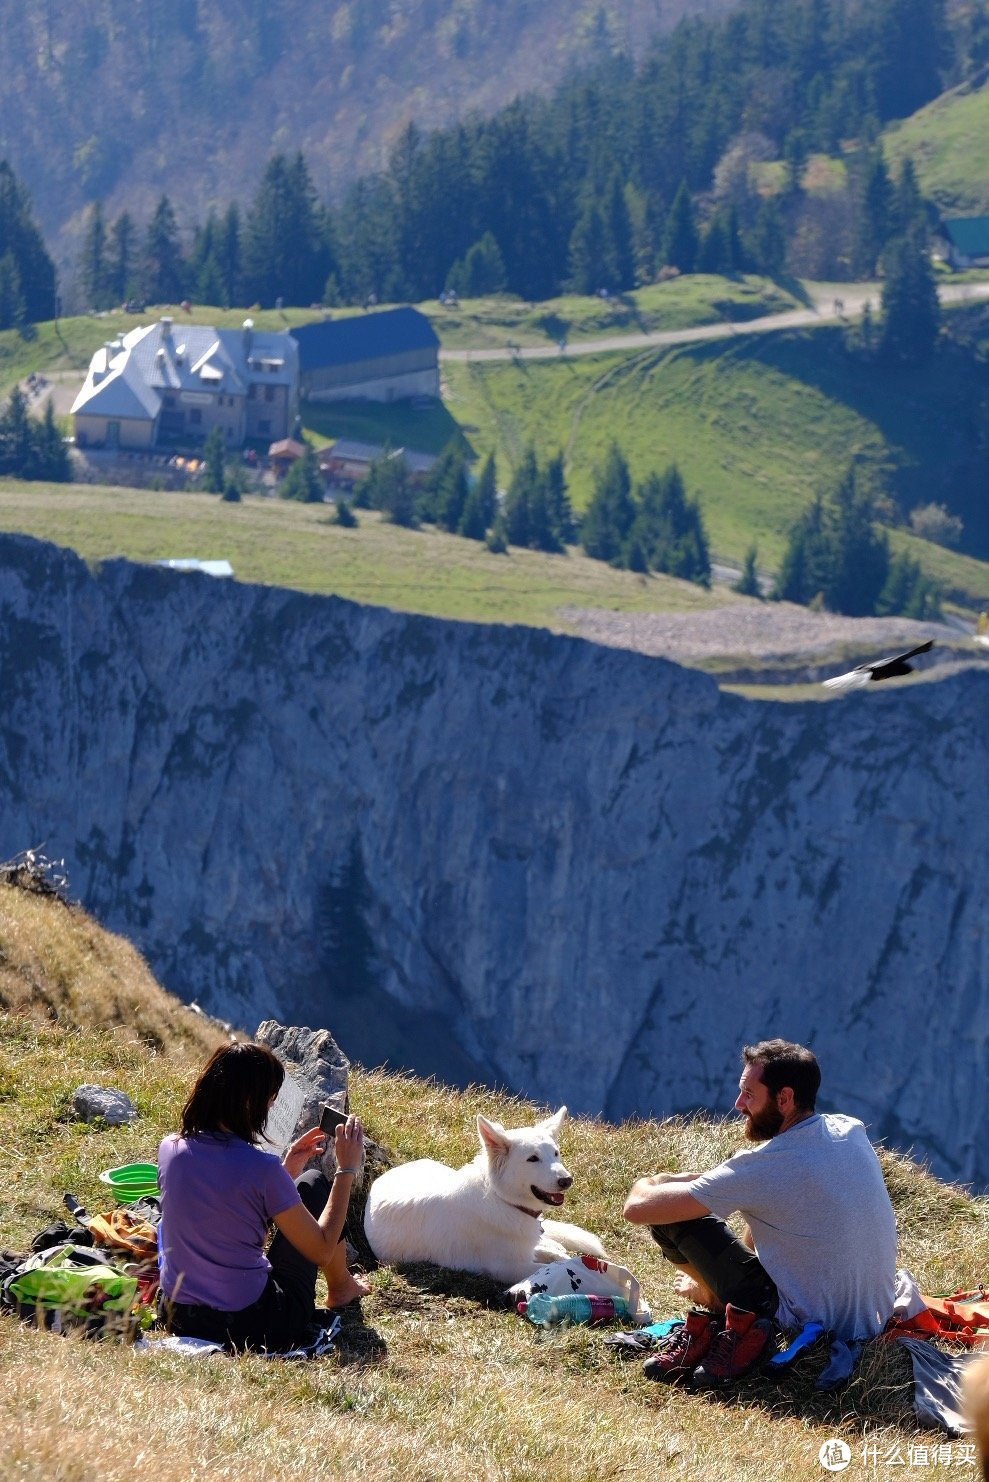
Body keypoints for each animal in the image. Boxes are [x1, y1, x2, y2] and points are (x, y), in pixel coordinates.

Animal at [366, 1114, 610, 1286]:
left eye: (556, 1154)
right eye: (532, 1159)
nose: (567, 1180)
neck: (501, 1198)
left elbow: (555, 1255)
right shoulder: (510, 1268)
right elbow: (559, 1265)